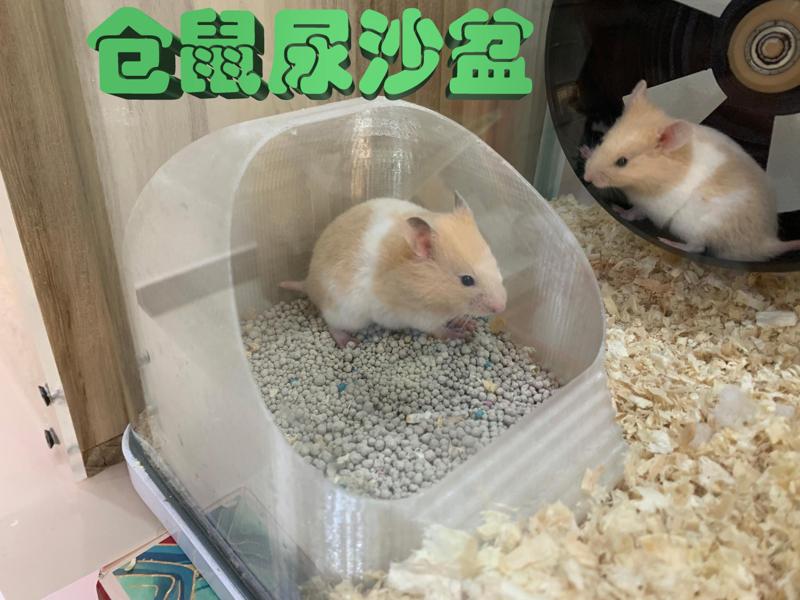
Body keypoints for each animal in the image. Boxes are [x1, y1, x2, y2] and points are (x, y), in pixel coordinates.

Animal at [280, 194, 507, 348]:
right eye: (467, 280)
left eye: (496, 262)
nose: (502, 307)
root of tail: (308, 282)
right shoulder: (418, 316)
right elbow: (438, 329)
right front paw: (459, 334)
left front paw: (469, 325)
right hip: (346, 314)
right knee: (331, 323)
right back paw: (348, 342)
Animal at [582, 80, 800, 262]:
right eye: (602, 140)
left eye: (622, 162)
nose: (586, 177)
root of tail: (769, 242)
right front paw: (584, 150)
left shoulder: (650, 207)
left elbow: (635, 212)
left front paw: (618, 210)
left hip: (698, 229)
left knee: (697, 247)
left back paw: (667, 241)